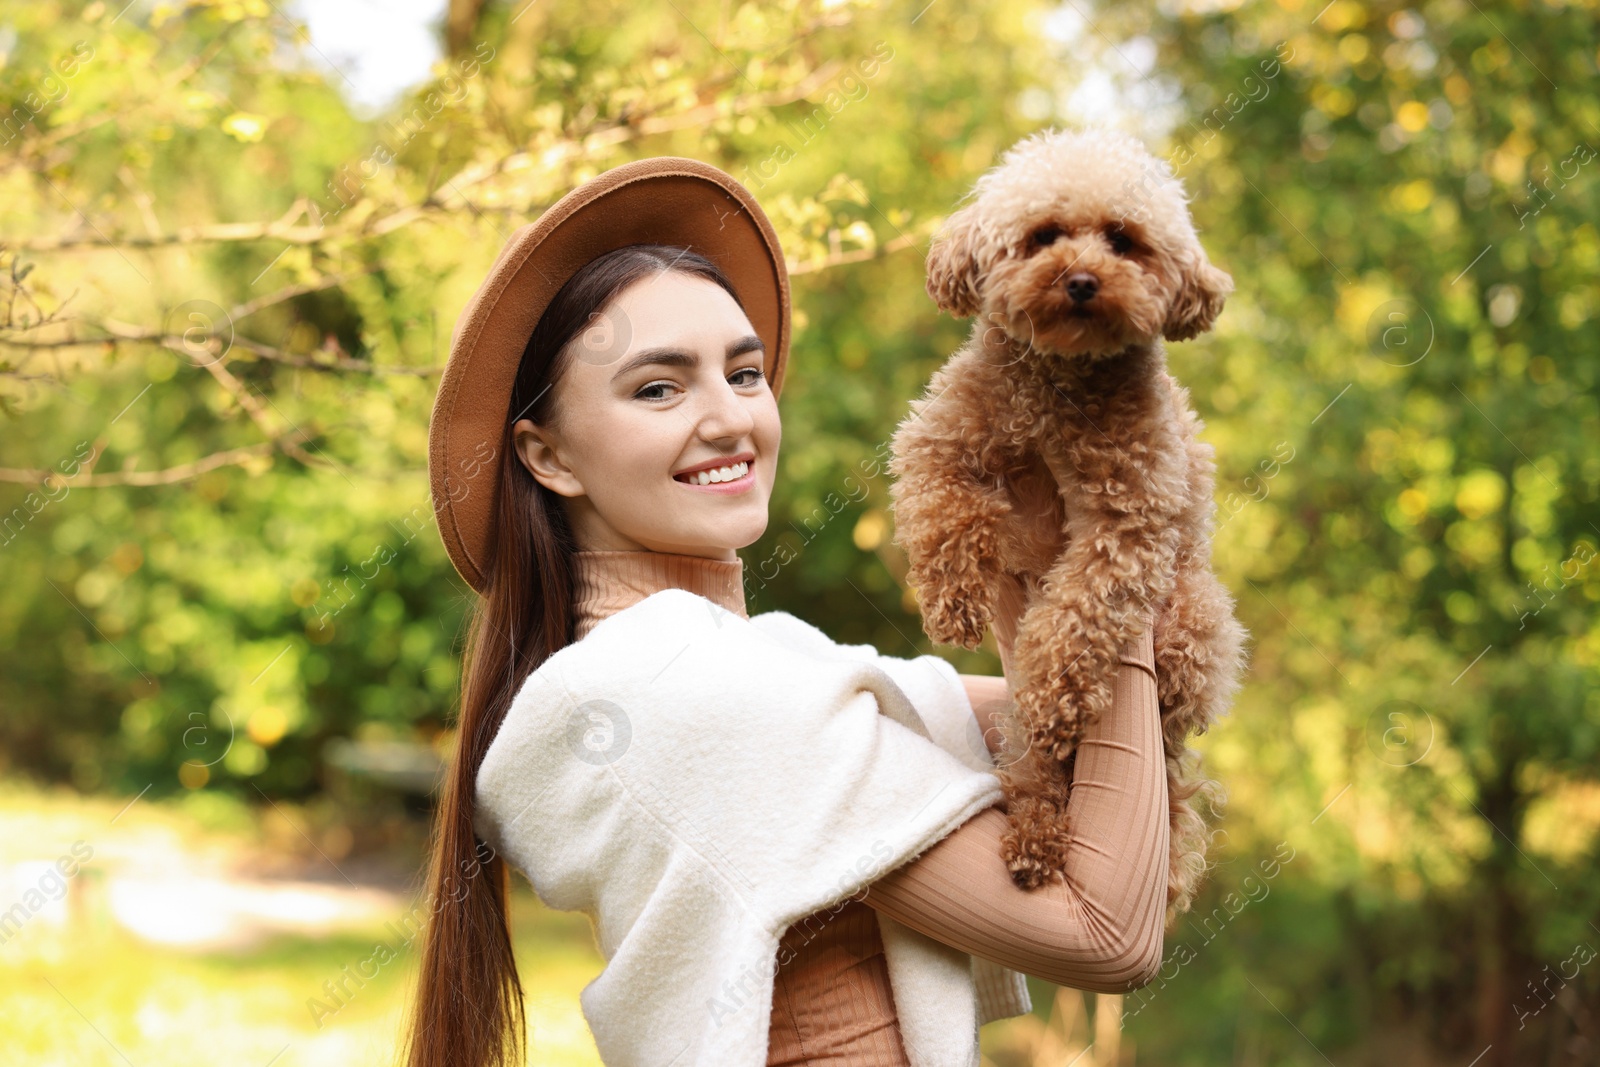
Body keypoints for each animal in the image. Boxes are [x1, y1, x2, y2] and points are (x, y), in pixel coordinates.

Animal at [889, 129, 1248, 921]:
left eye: (1122, 240)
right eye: (1043, 235)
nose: (1081, 279)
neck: (1061, 379)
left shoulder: (1131, 520)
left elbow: (1077, 615)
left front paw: (1056, 694)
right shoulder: (937, 440)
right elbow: (944, 513)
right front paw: (953, 604)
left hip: (1198, 624)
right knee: (1032, 767)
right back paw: (1035, 833)